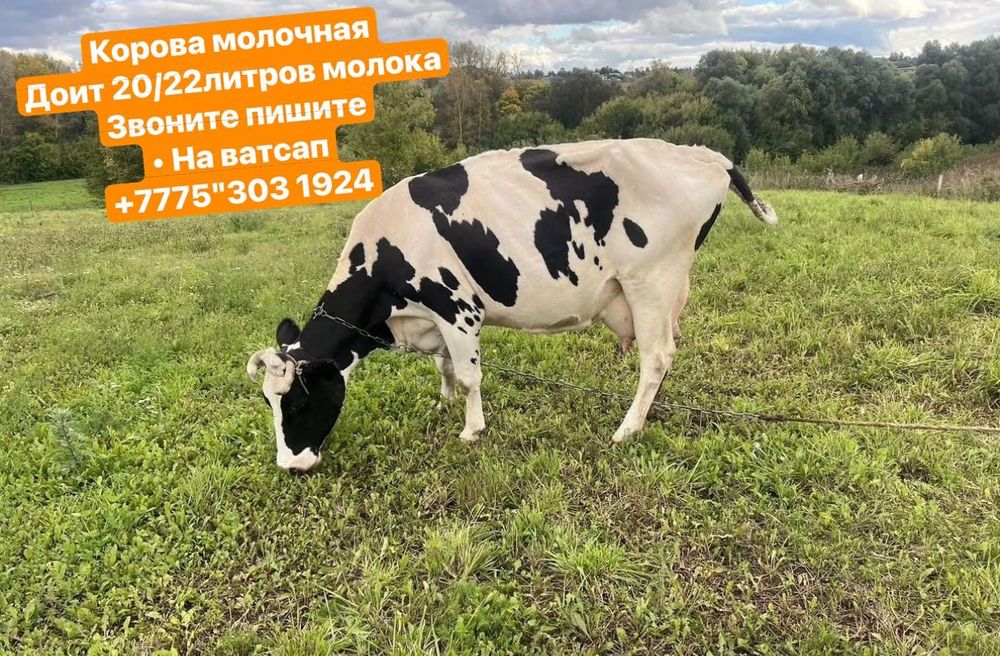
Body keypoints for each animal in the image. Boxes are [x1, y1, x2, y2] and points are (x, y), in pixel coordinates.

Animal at [247, 139, 777, 472]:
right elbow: (443, 364)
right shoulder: (433, 319)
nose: (290, 465)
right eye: (270, 402)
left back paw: (627, 428)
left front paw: (471, 429)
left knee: (656, 357)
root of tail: (704, 155)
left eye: (297, 402)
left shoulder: (458, 306)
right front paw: (444, 401)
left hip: (651, 280)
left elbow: (469, 374)